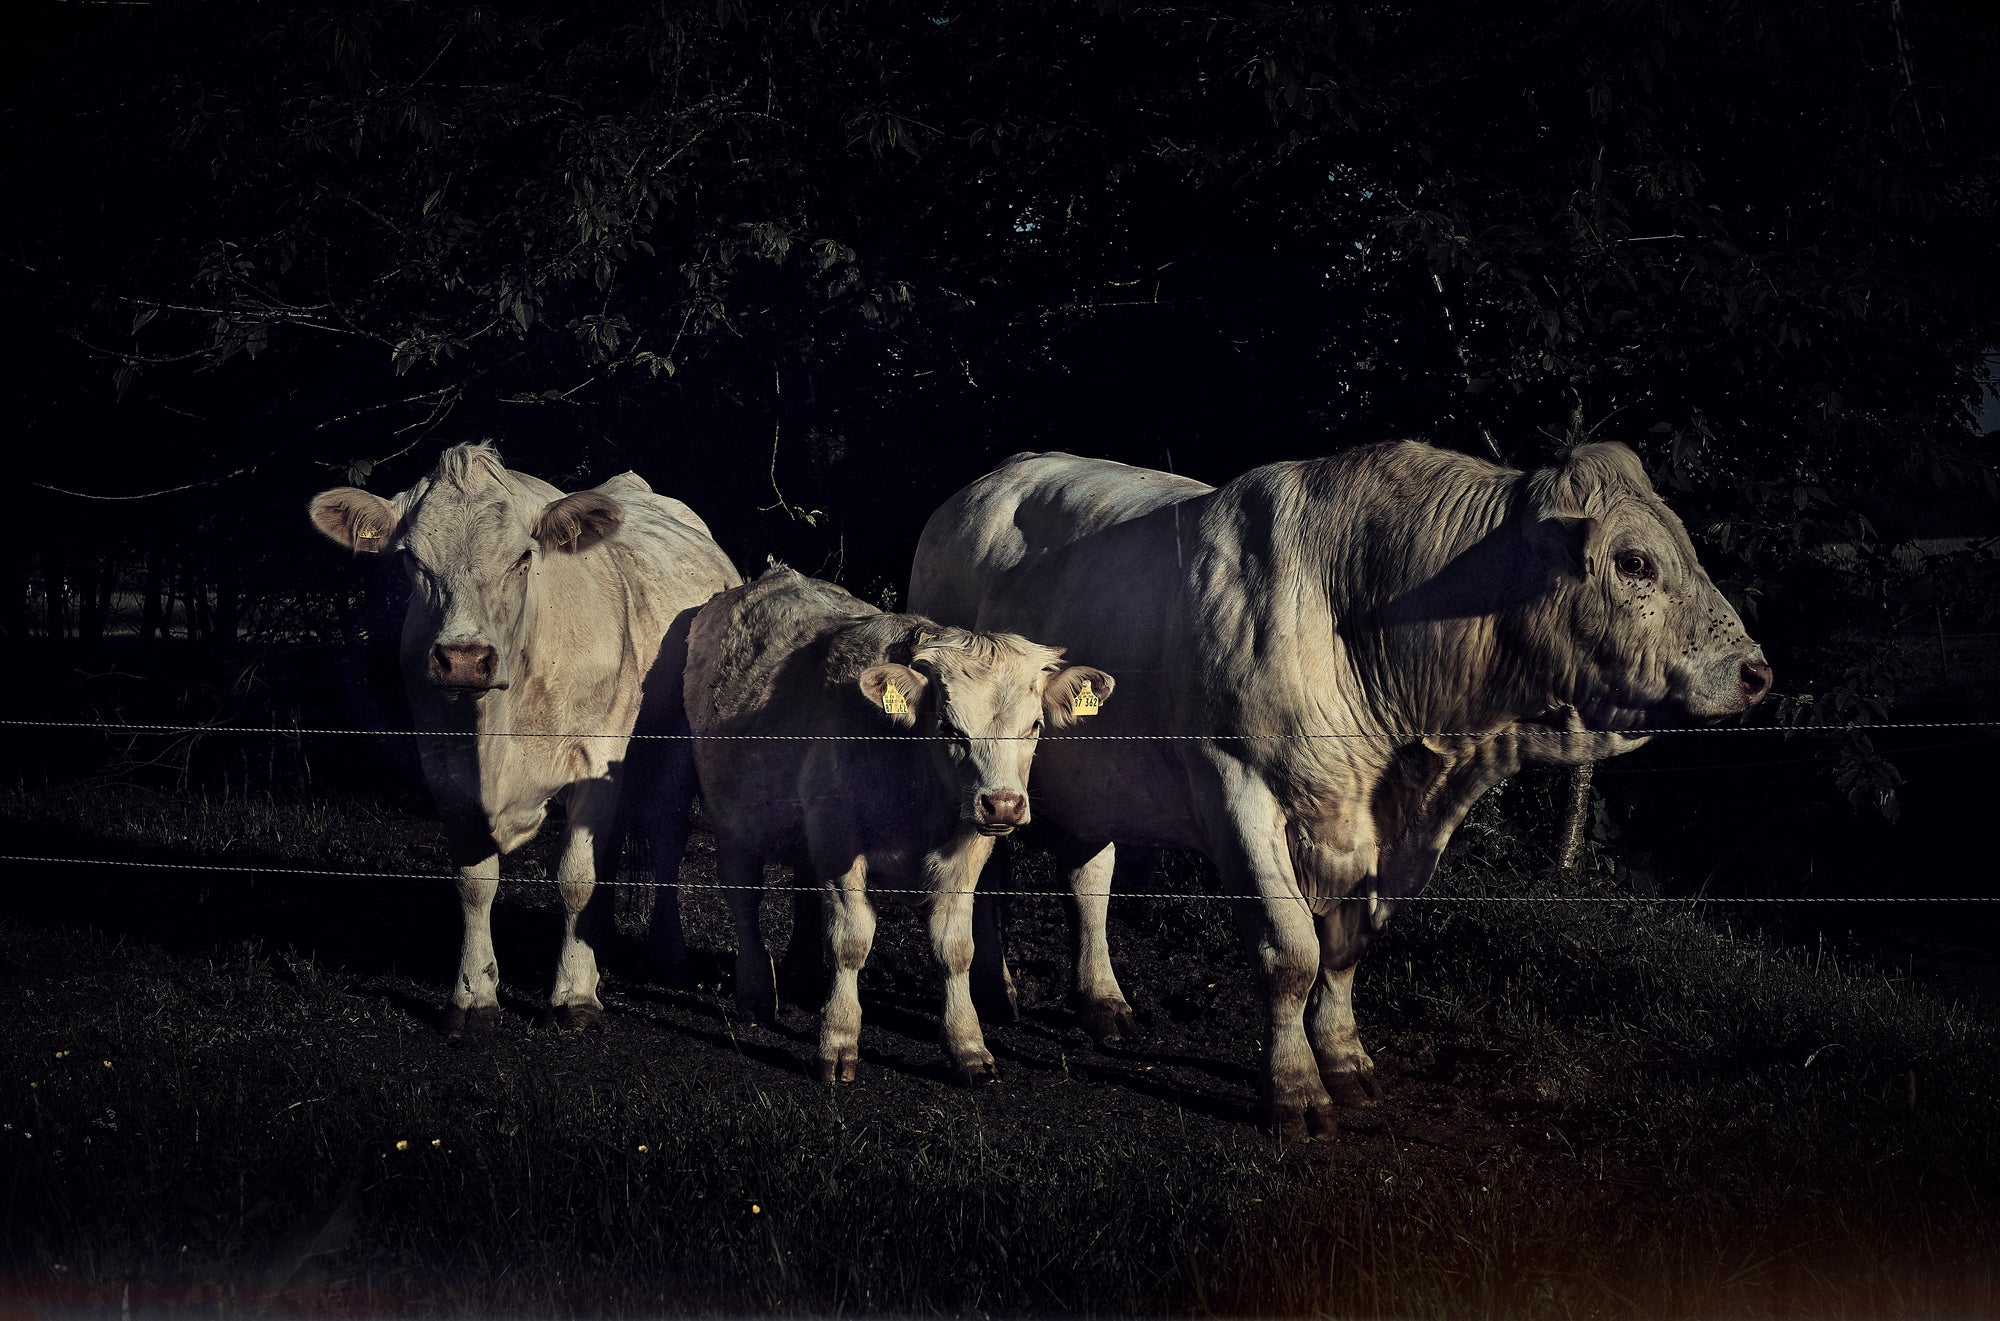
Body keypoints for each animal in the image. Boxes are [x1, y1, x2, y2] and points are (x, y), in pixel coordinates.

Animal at [308, 442, 740, 1031]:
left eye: (522, 558)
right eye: (412, 560)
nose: (464, 657)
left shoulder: (594, 760)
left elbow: (577, 877)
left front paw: (575, 994)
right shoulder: (445, 767)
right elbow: (474, 883)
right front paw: (473, 994)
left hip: (673, 748)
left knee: (666, 831)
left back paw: (667, 954)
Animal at [684, 567, 1113, 1085]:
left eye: (1033, 727)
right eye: (948, 727)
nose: (1003, 805)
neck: (916, 783)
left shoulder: (965, 855)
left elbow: (956, 949)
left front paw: (968, 1045)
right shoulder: (838, 845)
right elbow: (849, 942)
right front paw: (839, 1039)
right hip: (731, 821)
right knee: (744, 899)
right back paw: (756, 992)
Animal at [909, 441, 1771, 1135]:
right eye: (1635, 561)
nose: (1756, 670)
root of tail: (991, 479)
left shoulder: (1389, 834)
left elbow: (1347, 947)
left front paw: (1346, 1058)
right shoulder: (1237, 789)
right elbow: (1291, 950)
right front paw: (1294, 1090)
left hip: (1094, 773)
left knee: (1089, 877)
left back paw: (1102, 1001)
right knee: (994, 871)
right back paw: (995, 987)